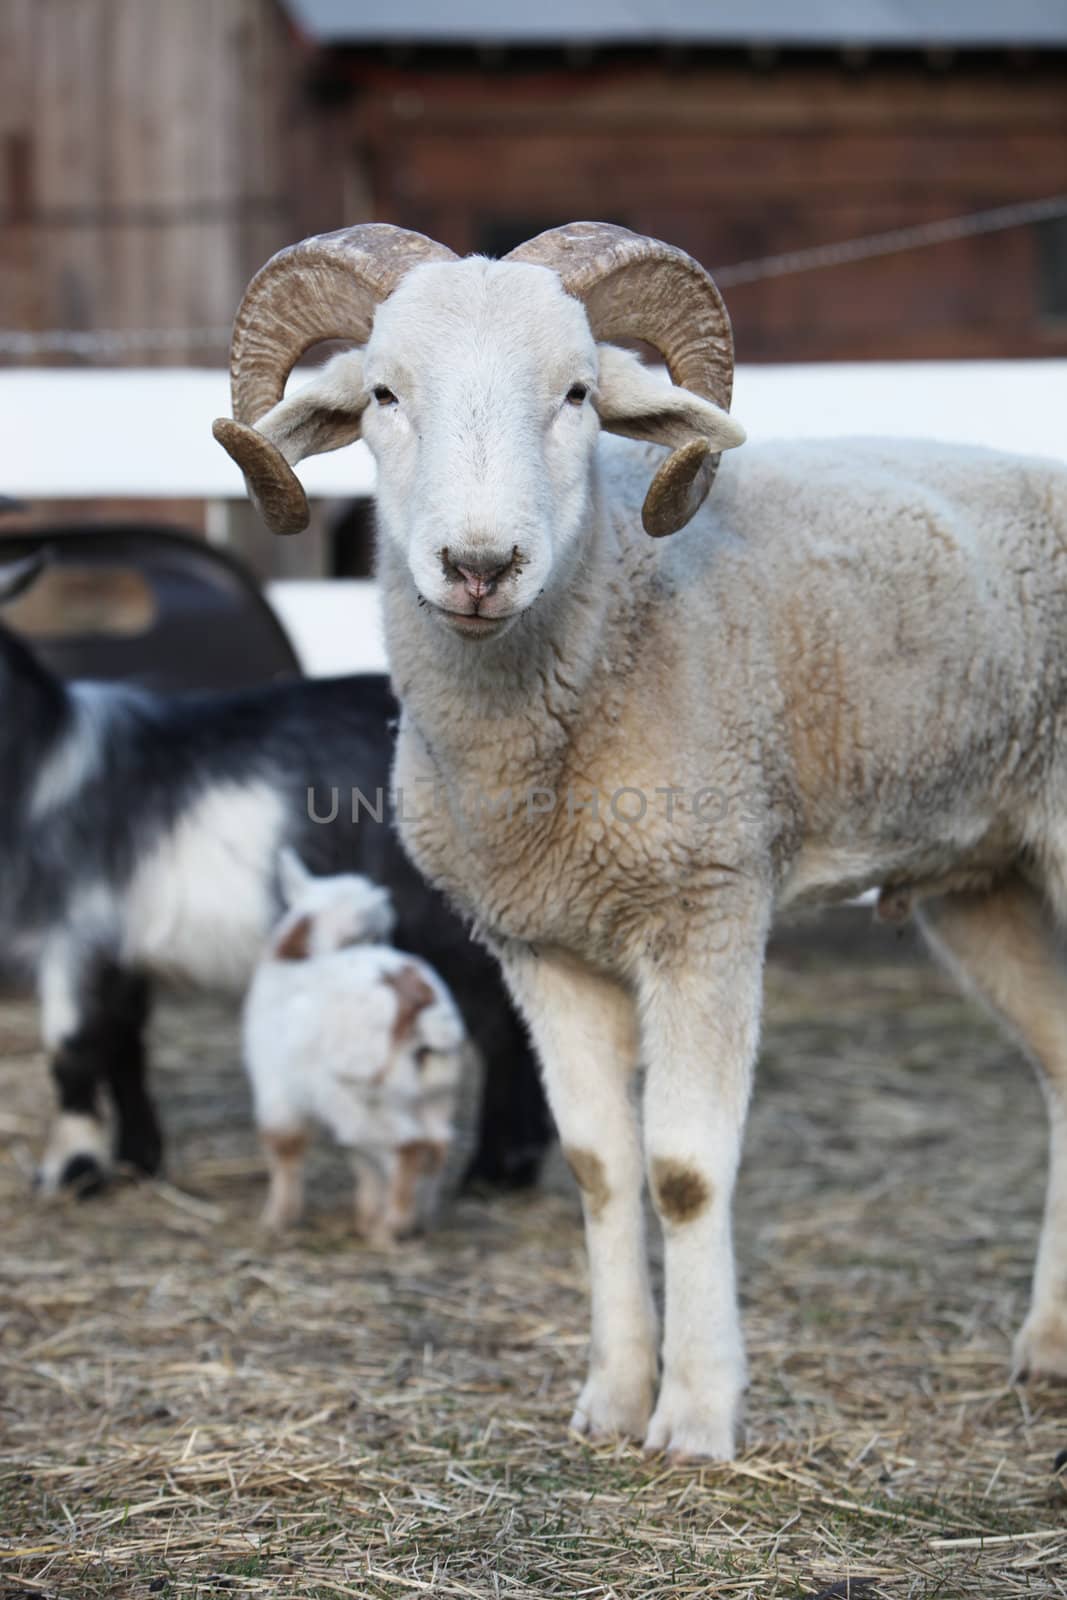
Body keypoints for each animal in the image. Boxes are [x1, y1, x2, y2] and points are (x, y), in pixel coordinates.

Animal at [0, 550, 550, 1190]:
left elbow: (73, 1049)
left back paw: (496, 1168)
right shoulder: (122, 947)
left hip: (441, 919)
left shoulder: (74, 928)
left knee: (500, 1027)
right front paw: (138, 1159)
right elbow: (124, 1047)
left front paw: (69, 1170)